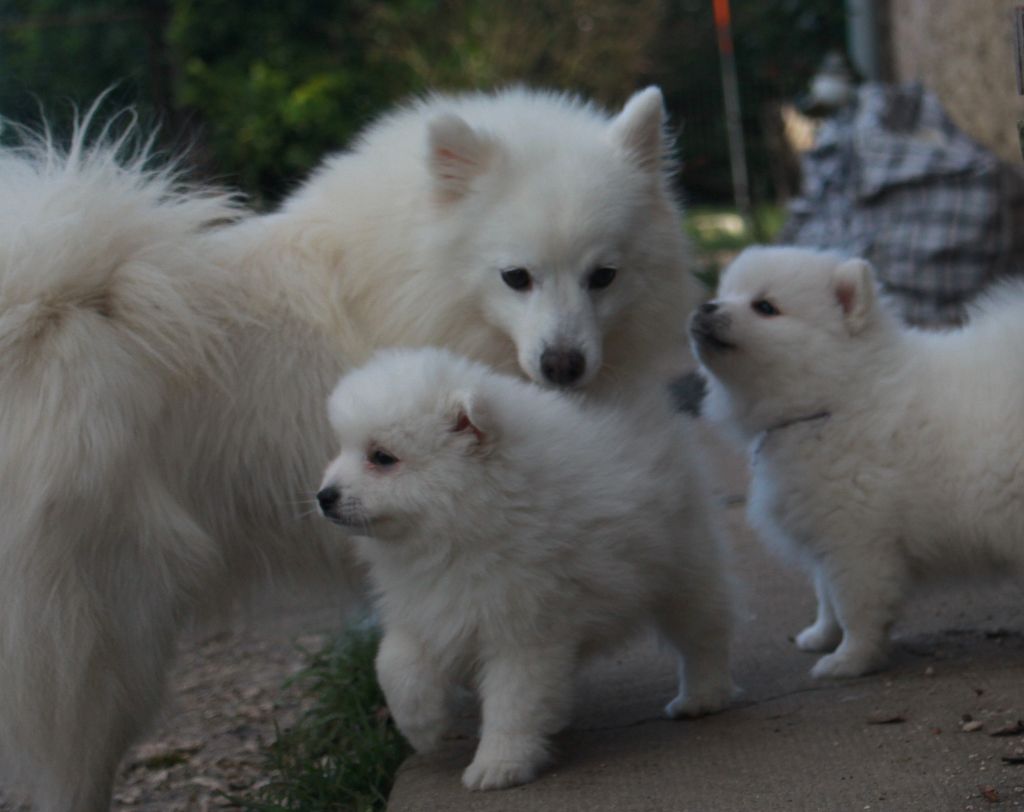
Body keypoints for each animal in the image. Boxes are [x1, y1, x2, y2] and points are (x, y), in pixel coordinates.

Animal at [315, 346, 733, 786]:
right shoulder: (427, 607)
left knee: (705, 631)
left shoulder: (523, 631)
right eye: (342, 449)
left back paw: (703, 695)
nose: (324, 496)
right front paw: (422, 728)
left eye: (382, 458)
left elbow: (512, 702)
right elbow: (394, 663)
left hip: (685, 566)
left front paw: (499, 765)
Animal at [692, 245, 1024, 679]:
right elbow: (826, 595)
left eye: (765, 307)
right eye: (724, 293)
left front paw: (848, 660)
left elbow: (855, 605)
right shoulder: (824, 533)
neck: (834, 400)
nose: (704, 307)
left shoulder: (857, 539)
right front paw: (820, 636)